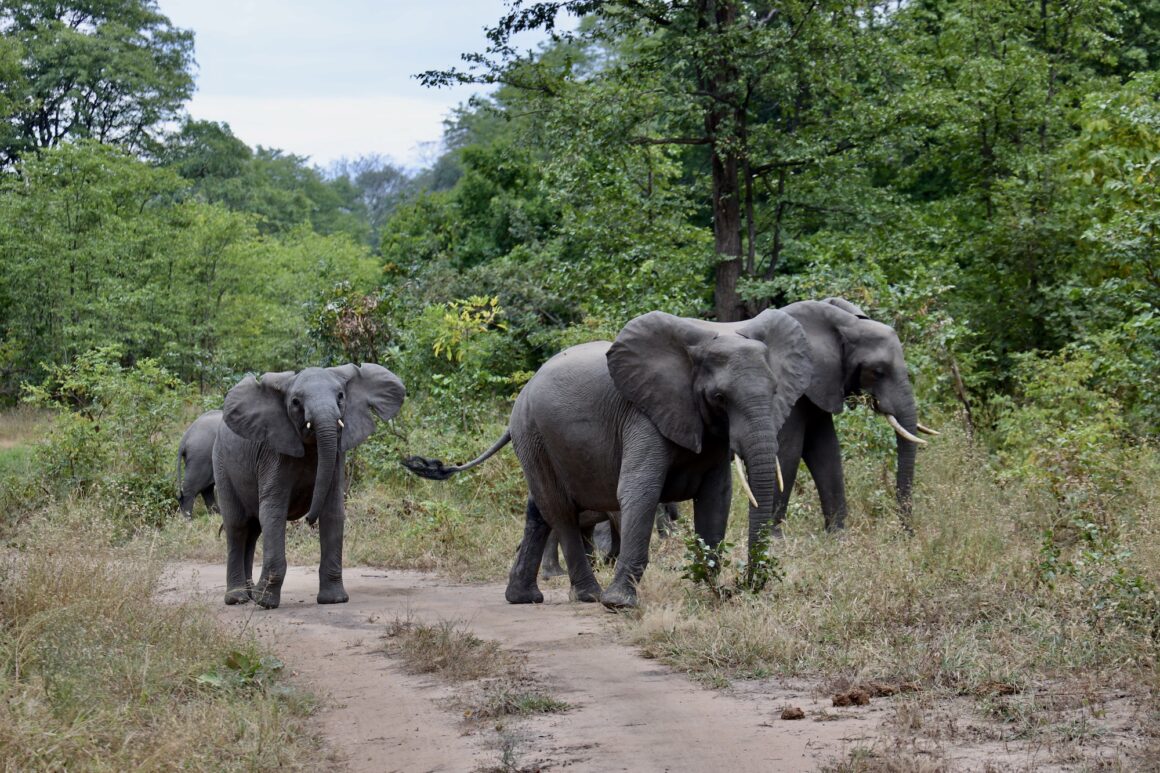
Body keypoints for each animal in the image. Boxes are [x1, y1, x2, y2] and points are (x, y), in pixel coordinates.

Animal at [214, 363, 405, 609]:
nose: (307, 519)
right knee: (237, 525)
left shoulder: (337, 455)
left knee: (253, 529)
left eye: (341, 396)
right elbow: (273, 512)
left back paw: (250, 595)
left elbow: (333, 512)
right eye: (295, 402)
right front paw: (266, 603)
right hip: (221, 463)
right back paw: (238, 599)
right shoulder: (273, 453)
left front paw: (334, 600)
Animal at [404, 309, 812, 609]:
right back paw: (590, 596)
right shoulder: (643, 415)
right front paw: (620, 605)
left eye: (776, 391)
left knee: (539, 510)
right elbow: (639, 492)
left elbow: (716, 501)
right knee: (559, 510)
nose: (745, 586)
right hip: (532, 434)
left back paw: (524, 598)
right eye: (719, 398)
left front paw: (712, 594)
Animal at [774, 298, 938, 533]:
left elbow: (825, 449)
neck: (846, 324)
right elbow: (789, 451)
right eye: (877, 372)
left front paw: (837, 537)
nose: (907, 533)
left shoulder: (821, 385)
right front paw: (772, 538)